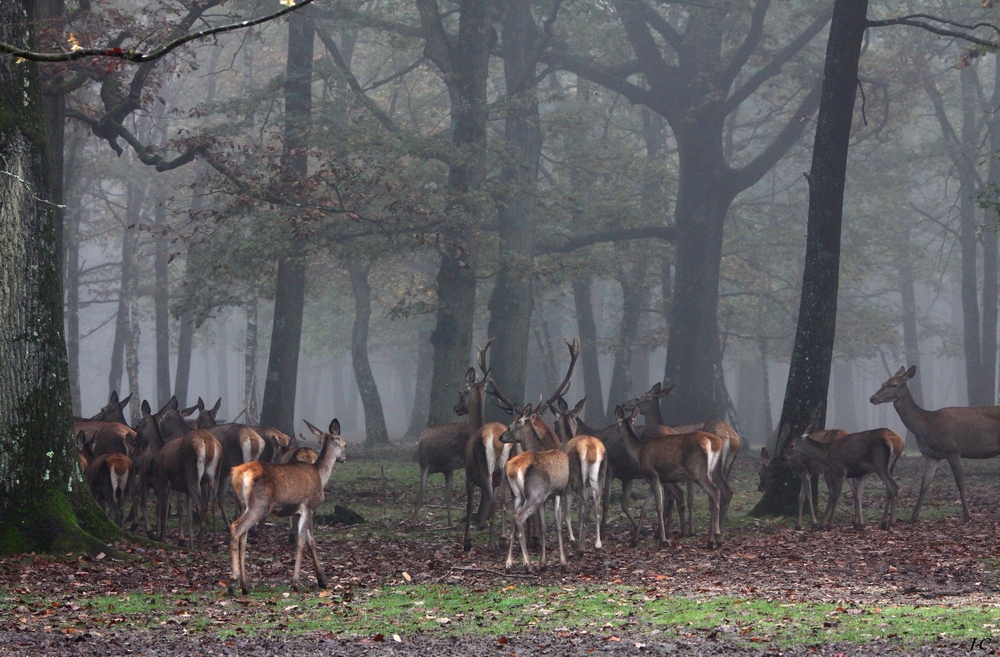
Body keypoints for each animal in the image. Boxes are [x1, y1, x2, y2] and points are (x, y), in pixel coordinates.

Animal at [229, 420, 348, 596]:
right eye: (345, 444)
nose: (345, 458)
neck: (320, 475)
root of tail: (239, 474)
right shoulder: (308, 505)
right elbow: (302, 541)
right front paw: (296, 583)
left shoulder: (297, 512)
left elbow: (310, 540)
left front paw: (322, 579)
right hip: (259, 505)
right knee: (236, 528)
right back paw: (233, 581)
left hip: (242, 505)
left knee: (243, 537)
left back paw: (244, 585)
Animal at [548, 398, 608, 552]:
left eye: (555, 422)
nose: (554, 432)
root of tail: (592, 448)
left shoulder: (567, 486)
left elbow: (567, 513)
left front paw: (572, 538)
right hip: (600, 474)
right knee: (597, 505)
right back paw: (598, 543)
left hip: (577, 477)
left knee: (586, 506)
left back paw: (581, 546)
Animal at [612, 404, 724, 548]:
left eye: (617, 425)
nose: (616, 436)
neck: (638, 451)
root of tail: (715, 442)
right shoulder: (653, 479)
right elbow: (644, 508)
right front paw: (634, 539)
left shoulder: (652, 474)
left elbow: (658, 506)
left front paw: (663, 539)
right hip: (711, 471)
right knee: (711, 497)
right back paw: (711, 540)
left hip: (697, 470)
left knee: (715, 491)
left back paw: (718, 537)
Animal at [868, 364, 1000, 524]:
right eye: (883, 383)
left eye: (894, 385)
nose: (872, 398)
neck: (926, 426)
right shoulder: (931, 456)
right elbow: (924, 485)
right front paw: (912, 517)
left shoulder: (953, 450)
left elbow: (960, 482)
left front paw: (967, 515)